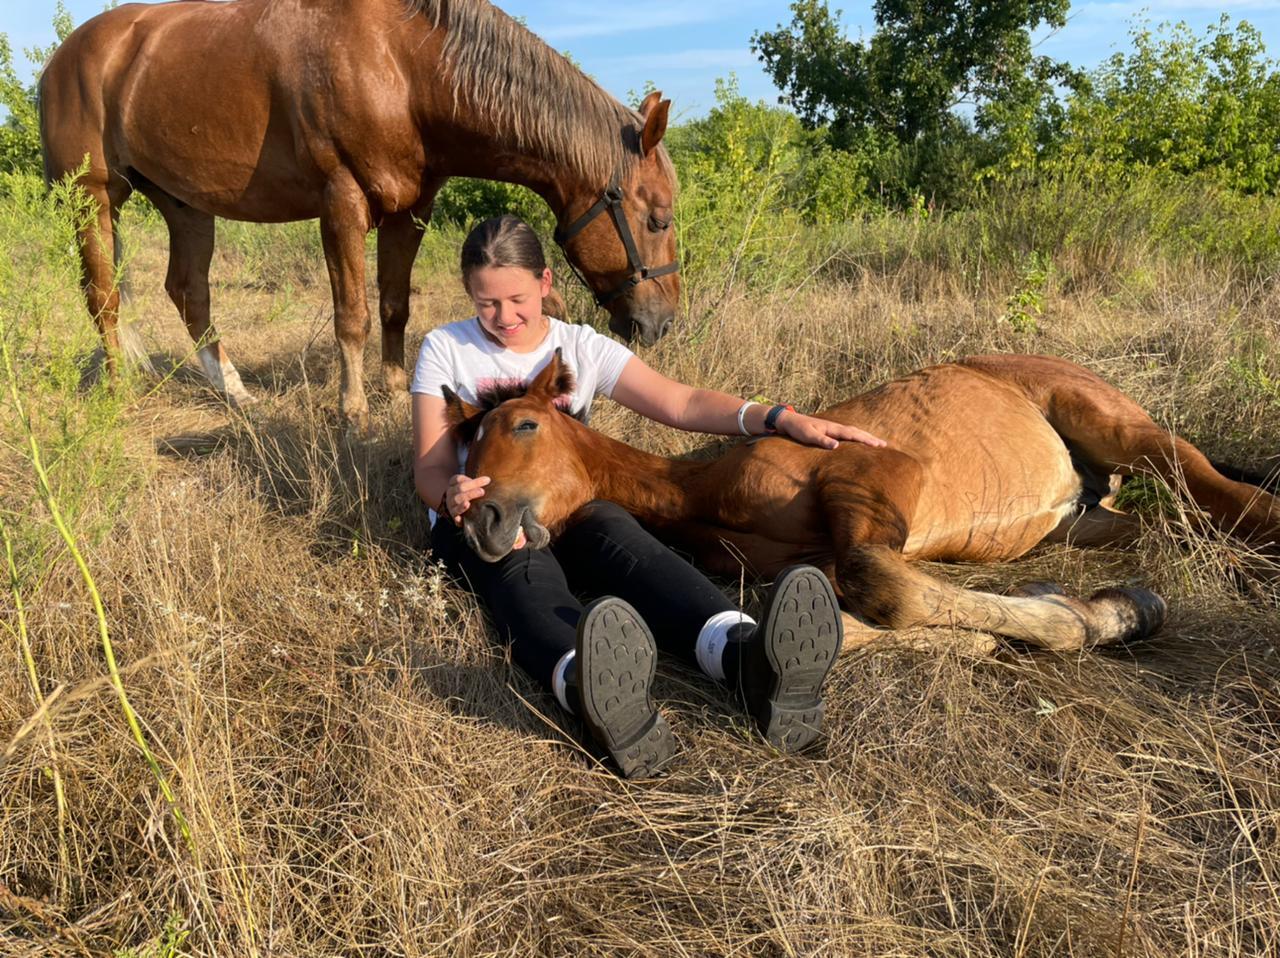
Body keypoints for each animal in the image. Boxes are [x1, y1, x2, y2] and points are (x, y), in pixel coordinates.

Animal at [40, 0, 680, 427]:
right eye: (659, 219)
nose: (661, 325)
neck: (402, 65)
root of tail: (64, 59)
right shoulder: (341, 202)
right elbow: (353, 315)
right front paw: (352, 410)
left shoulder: (409, 210)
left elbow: (395, 305)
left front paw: (396, 390)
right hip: (93, 198)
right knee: (104, 295)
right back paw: (120, 391)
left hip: (184, 204)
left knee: (188, 292)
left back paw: (234, 392)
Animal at [442, 350, 1280, 650]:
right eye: (463, 448)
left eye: (523, 424)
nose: (481, 521)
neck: (706, 492)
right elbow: (855, 617)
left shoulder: (877, 481)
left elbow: (889, 591)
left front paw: (1093, 616)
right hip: (1083, 522)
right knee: (1170, 526)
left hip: (1116, 425)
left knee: (1223, 491)